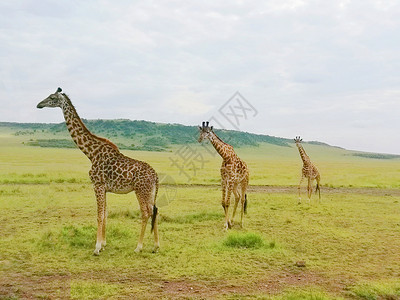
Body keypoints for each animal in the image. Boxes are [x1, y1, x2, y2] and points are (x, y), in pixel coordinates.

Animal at [36, 88, 159, 254]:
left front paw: (97, 247)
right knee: (154, 211)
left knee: (146, 213)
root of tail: (156, 176)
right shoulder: (104, 188)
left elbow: (99, 216)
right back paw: (156, 246)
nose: (39, 104)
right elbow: (105, 214)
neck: (91, 153)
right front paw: (104, 243)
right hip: (150, 191)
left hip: (140, 190)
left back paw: (138, 247)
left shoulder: (97, 185)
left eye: (52, 97)